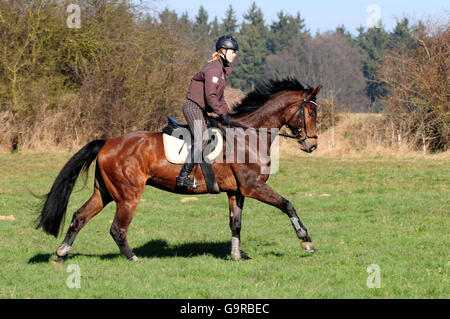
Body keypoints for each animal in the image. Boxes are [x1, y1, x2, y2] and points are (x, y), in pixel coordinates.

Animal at [37, 77, 322, 262]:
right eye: (310, 113)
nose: (312, 145)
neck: (249, 136)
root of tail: (107, 142)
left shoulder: (237, 191)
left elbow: (236, 224)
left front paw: (237, 255)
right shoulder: (254, 187)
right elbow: (287, 205)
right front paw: (306, 240)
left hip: (105, 191)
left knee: (80, 216)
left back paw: (61, 254)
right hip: (128, 195)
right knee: (117, 228)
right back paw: (133, 258)